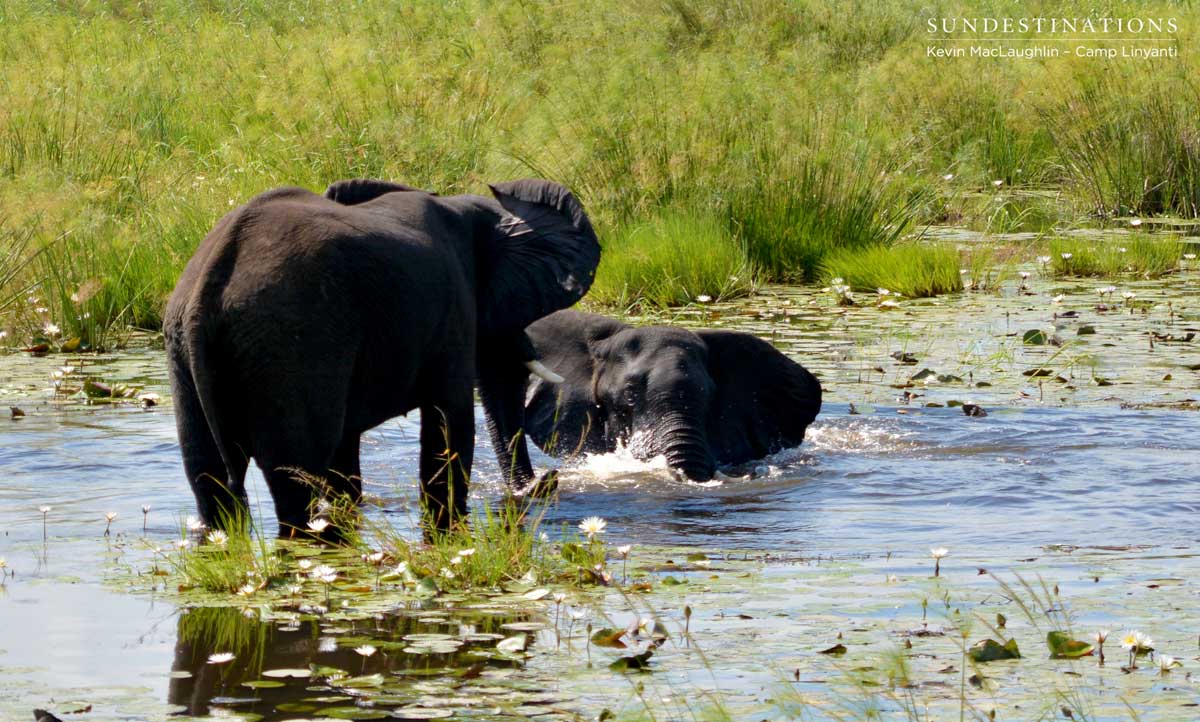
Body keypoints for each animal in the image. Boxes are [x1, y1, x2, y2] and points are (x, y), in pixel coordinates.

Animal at [164, 178, 600, 534]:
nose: (547, 481)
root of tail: (208, 285)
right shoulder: (451, 307)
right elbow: (450, 422)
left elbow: (345, 447)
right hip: (290, 346)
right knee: (294, 477)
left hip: (187, 349)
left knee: (208, 474)